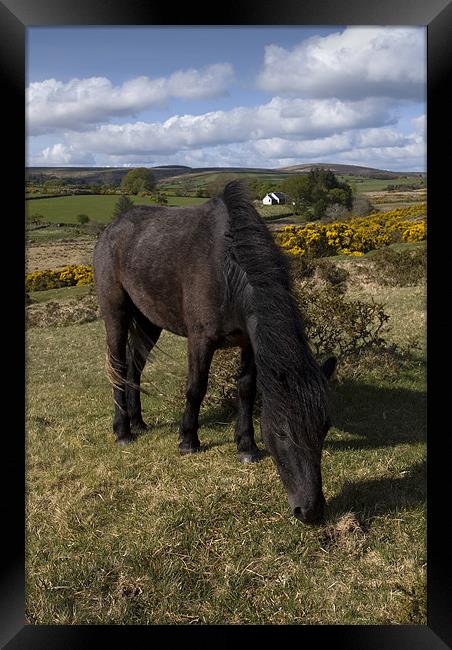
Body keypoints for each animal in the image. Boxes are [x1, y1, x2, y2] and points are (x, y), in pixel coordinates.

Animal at [93, 181, 336, 520]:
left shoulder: (249, 341)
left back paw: (138, 422)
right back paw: (123, 431)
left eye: (324, 427)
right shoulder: (200, 340)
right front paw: (188, 440)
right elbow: (196, 388)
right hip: (116, 314)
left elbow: (246, 389)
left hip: (149, 322)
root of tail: (112, 229)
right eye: (283, 433)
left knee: (133, 368)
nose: (310, 510)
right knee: (118, 367)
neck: (227, 269)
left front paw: (246, 446)